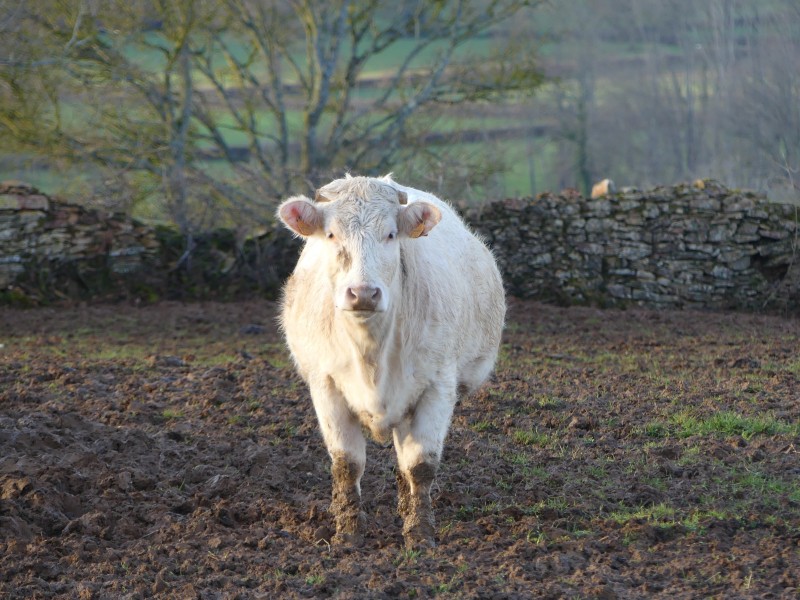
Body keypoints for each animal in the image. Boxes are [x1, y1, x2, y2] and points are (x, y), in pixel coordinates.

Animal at [280, 175, 506, 548]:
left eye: (390, 234)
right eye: (331, 234)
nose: (363, 293)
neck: (371, 351)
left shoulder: (438, 387)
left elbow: (420, 465)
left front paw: (420, 534)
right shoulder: (325, 386)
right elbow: (347, 464)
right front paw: (348, 534)